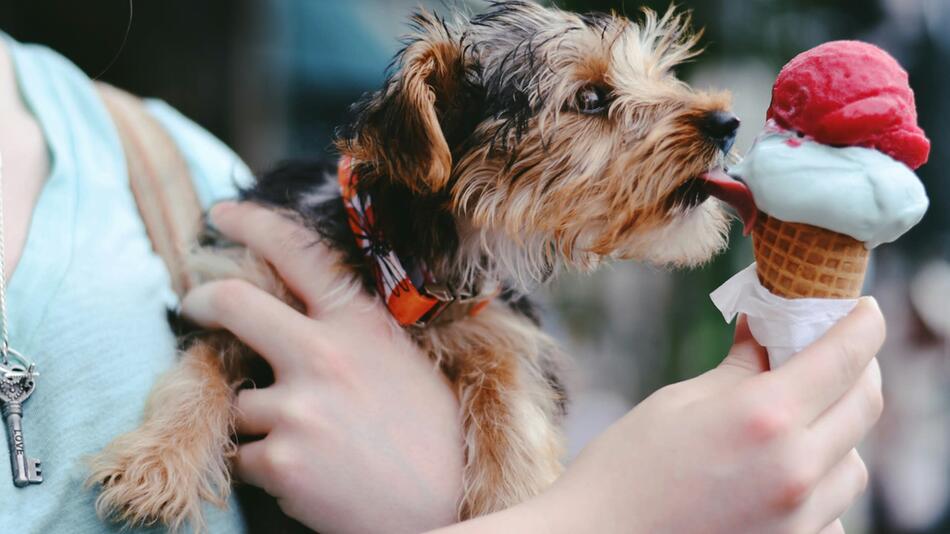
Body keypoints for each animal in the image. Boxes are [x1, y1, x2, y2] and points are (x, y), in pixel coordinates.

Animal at [85, 1, 740, 532]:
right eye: (591, 99)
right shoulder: (239, 283)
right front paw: (157, 462)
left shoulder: (497, 323)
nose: (727, 123)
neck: (398, 255)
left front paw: (513, 494)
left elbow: (511, 393)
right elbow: (201, 367)